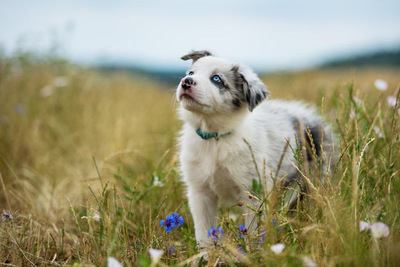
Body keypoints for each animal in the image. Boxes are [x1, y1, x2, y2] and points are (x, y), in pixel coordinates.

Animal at [177, 50, 336, 249]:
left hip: (313, 183)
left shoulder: (253, 192)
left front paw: (252, 251)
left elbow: (252, 230)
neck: (215, 139)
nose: (186, 82)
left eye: (216, 79)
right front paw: (206, 254)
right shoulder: (200, 191)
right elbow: (204, 234)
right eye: (191, 73)